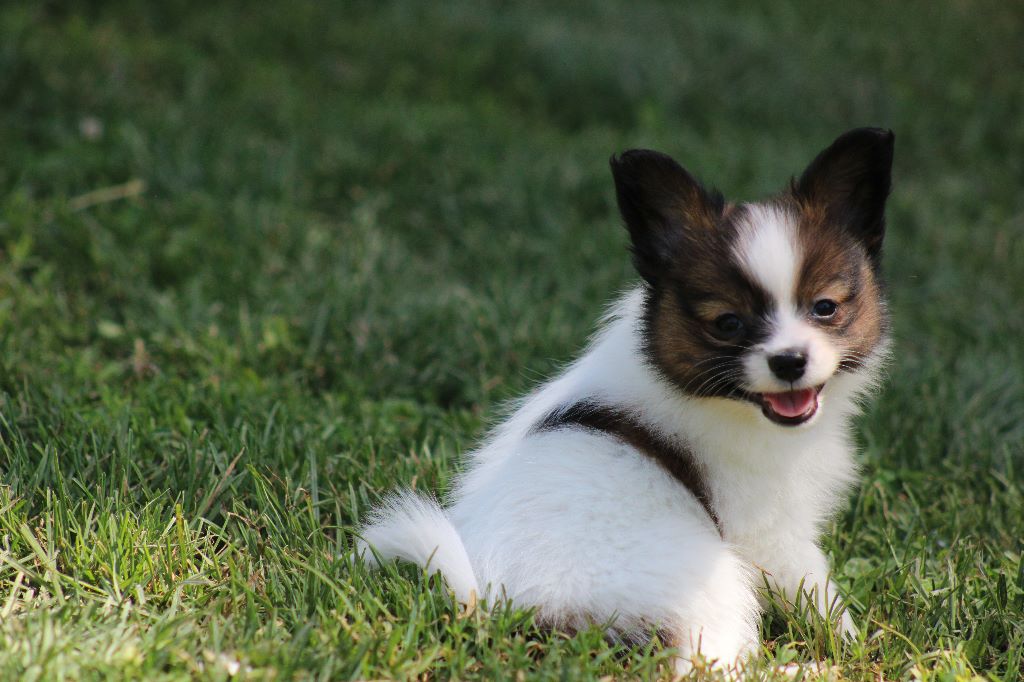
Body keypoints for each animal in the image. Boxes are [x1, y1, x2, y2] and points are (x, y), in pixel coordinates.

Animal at [360, 129, 897, 675]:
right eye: (728, 324)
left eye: (825, 308)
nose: (789, 361)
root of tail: (498, 605)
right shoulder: (770, 532)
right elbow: (816, 589)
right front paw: (852, 645)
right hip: (712, 580)